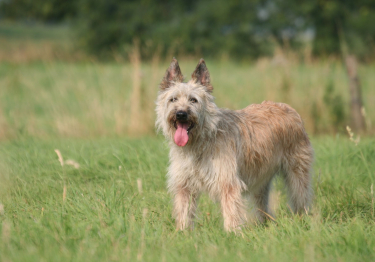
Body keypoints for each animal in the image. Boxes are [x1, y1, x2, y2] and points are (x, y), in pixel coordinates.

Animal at [156, 57, 314, 231]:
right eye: (173, 99)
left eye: (193, 100)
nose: (181, 114)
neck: (202, 139)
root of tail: (289, 108)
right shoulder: (184, 185)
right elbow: (184, 209)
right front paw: (183, 231)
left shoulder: (228, 182)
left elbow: (231, 210)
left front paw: (232, 233)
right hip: (261, 178)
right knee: (262, 203)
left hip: (297, 172)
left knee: (300, 195)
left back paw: (303, 219)